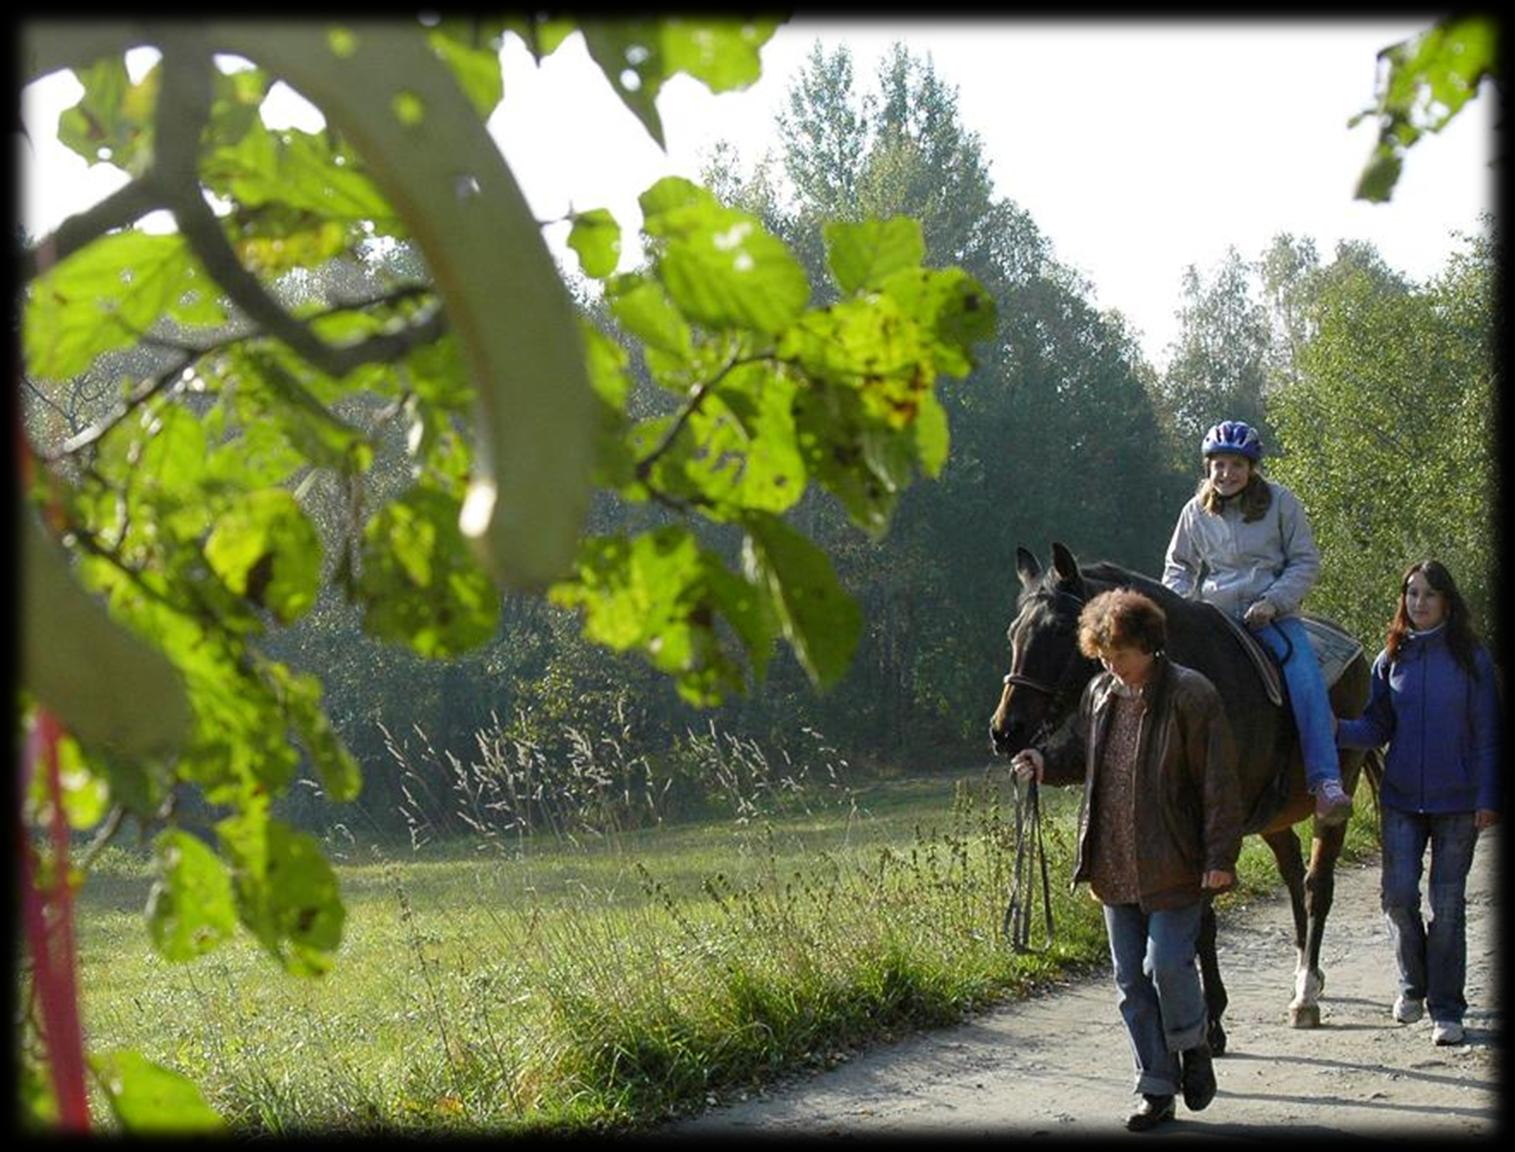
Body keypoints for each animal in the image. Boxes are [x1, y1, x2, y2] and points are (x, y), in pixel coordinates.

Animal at [987, 542, 1381, 1054]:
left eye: (1057, 630)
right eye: (1014, 631)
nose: (1005, 731)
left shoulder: (1209, 826)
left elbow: (1199, 923)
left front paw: (1210, 1025)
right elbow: (1198, 927)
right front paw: (1208, 1020)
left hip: (1336, 795)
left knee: (1317, 885)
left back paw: (1306, 995)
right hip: (1271, 817)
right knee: (1294, 874)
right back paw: (1305, 975)